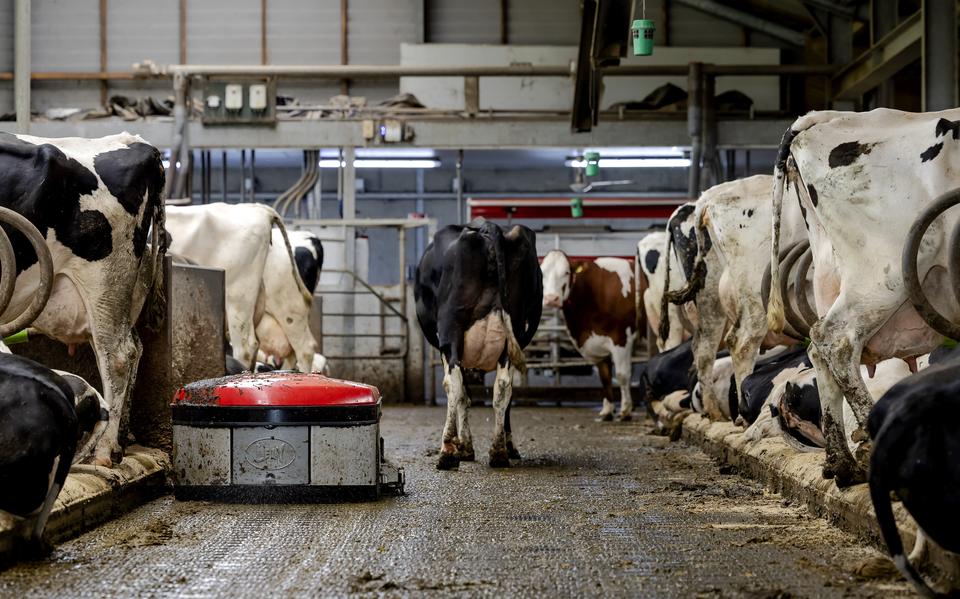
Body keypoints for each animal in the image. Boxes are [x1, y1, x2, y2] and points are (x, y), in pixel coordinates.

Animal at [0, 134, 165, 466]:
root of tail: (138, 143)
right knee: (134, 347)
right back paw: (119, 444)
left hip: (105, 282)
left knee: (118, 356)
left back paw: (103, 453)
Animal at [416, 218, 544, 472]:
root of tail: (488, 227)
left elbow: (462, 394)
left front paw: (464, 446)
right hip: (513, 332)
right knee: (503, 388)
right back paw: (499, 452)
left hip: (451, 329)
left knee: (454, 384)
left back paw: (447, 451)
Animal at [540, 251, 636, 420]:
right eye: (542, 273)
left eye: (566, 272)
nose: (551, 299)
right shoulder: (598, 342)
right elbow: (605, 376)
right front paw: (607, 411)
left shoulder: (621, 338)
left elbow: (622, 374)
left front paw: (625, 411)